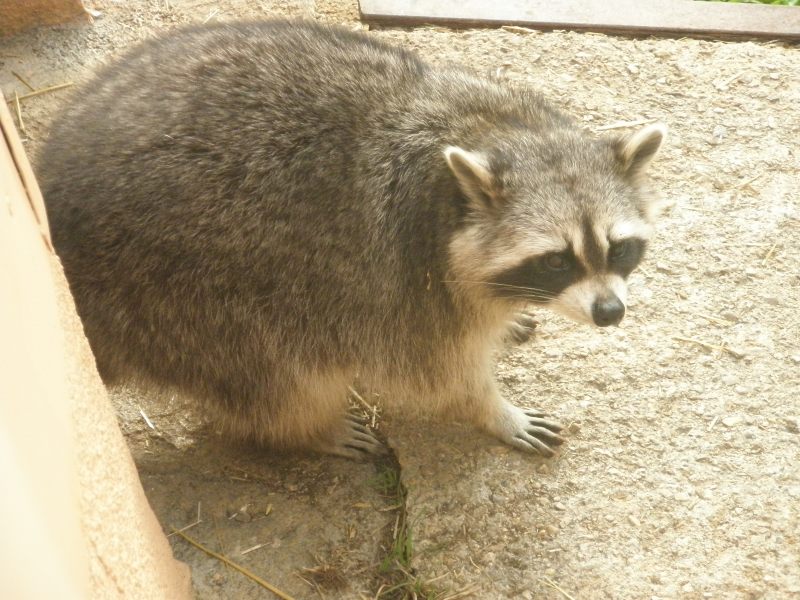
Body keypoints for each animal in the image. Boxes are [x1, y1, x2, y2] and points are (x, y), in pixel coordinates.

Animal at [39, 19, 665, 459]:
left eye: (618, 248)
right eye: (557, 261)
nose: (610, 312)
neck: (490, 132)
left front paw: (505, 318)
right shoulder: (408, 281)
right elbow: (442, 375)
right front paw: (492, 410)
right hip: (183, 295)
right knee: (278, 375)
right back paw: (304, 429)